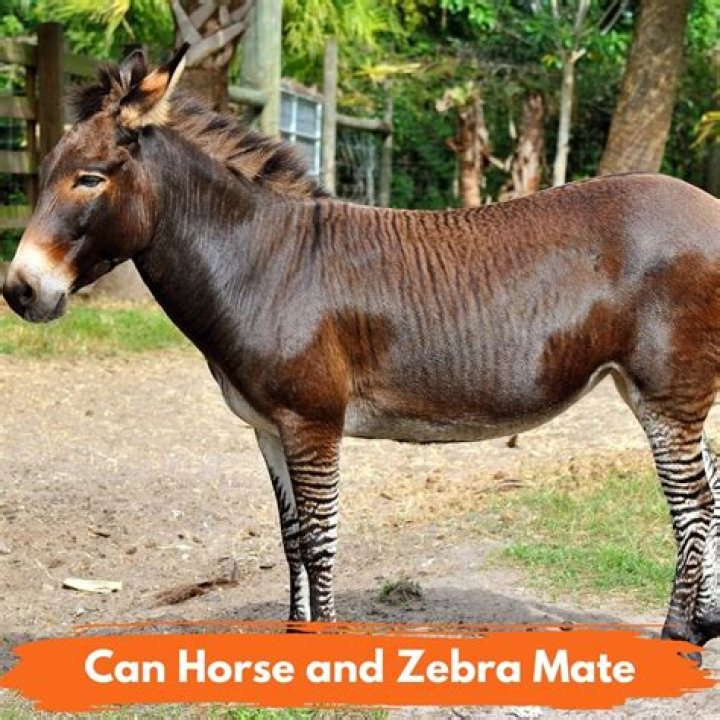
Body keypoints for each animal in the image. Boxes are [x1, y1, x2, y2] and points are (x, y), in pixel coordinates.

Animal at [3, 46, 719, 649]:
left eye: (89, 179)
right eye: (46, 173)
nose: (19, 291)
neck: (262, 263)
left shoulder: (313, 422)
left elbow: (320, 541)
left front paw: (323, 649)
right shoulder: (269, 428)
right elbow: (292, 540)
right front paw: (296, 641)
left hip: (667, 389)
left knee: (693, 503)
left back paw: (679, 635)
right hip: (665, 389)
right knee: (708, 488)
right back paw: (707, 624)